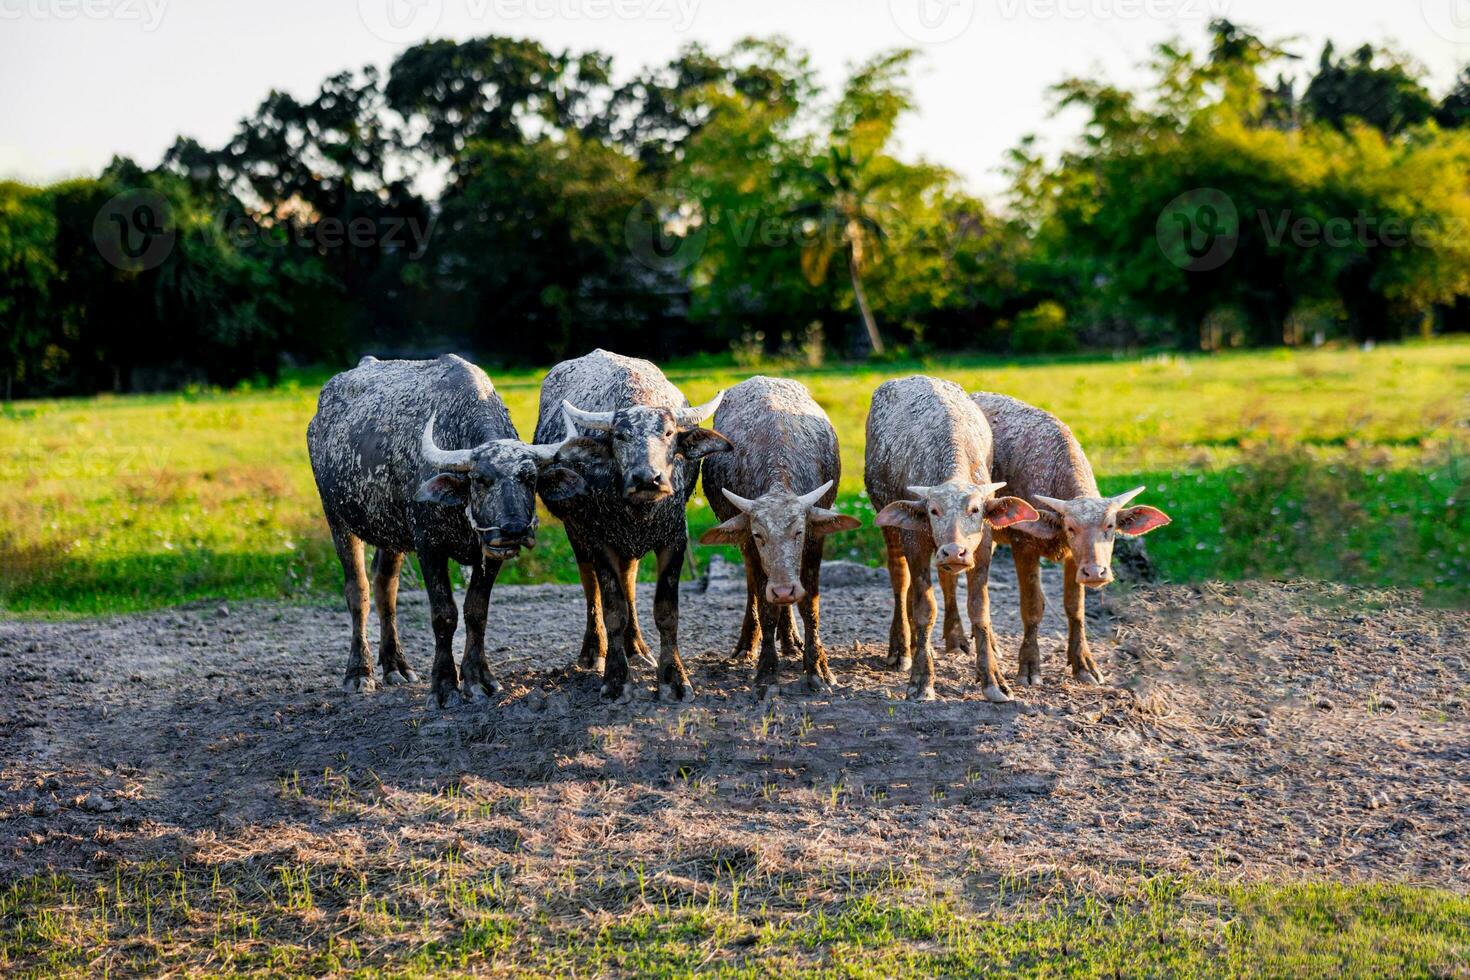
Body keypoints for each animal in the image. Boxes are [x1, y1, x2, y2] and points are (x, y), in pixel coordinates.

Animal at [307, 357, 582, 708]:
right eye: (479, 479)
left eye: (529, 478)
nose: (513, 530)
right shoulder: (429, 546)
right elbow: (444, 614)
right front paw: (444, 686)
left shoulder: (489, 553)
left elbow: (476, 610)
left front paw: (478, 679)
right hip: (337, 518)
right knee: (359, 590)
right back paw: (359, 673)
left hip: (390, 533)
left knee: (386, 588)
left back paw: (396, 666)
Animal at [696, 376, 858, 696]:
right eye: (760, 535)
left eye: (799, 531)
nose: (784, 590)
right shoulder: (750, 543)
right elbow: (766, 606)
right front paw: (767, 671)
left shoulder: (815, 543)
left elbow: (810, 605)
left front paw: (817, 669)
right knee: (753, 589)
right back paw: (747, 645)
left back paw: (791, 640)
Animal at [864, 376, 1040, 705]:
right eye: (934, 509)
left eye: (975, 509)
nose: (954, 552)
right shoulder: (915, 541)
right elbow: (924, 609)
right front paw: (921, 680)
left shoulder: (982, 548)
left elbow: (979, 609)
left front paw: (993, 680)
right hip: (890, 523)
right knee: (900, 581)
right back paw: (901, 649)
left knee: (943, 582)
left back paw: (952, 640)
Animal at [976, 393, 1170, 687]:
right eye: (1071, 527)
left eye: (1110, 526)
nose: (1096, 572)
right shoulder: (1024, 545)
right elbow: (1032, 606)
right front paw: (1029, 666)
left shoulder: (1073, 558)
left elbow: (1074, 607)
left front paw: (1084, 664)